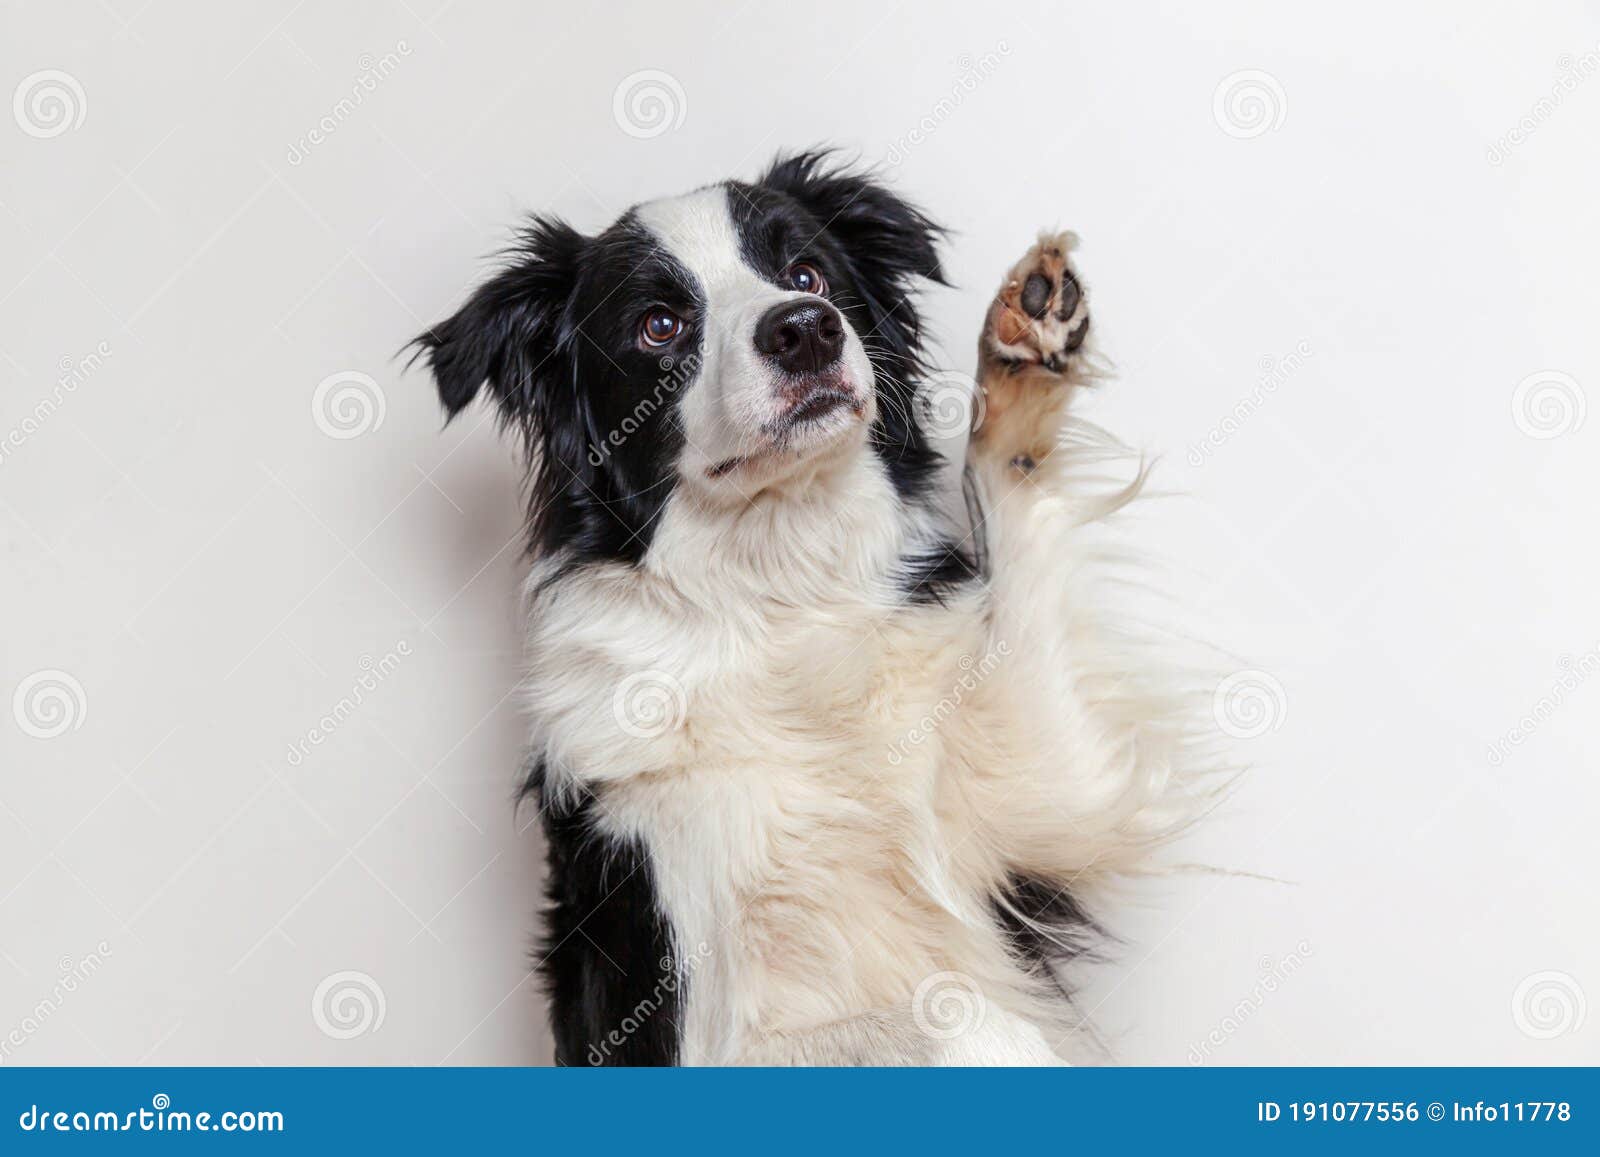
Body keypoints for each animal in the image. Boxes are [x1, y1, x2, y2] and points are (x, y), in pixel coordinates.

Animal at [412, 153, 1209, 1068]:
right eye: (659, 326)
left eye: (807, 274)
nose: (805, 328)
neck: (781, 593)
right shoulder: (680, 1011)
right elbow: (958, 1016)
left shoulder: (1042, 786)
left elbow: (1018, 516)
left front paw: (1024, 354)